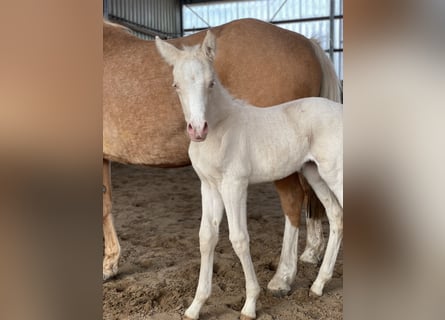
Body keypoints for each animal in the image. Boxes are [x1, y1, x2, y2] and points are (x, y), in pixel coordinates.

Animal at [104, 19, 340, 288]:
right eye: (175, 85)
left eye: (211, 83)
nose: (197, 129)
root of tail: (306, 43)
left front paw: (109, 265)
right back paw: (311, 255)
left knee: (293, 199)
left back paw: (283, 277)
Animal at [156, 30, 344, 320]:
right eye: (176, 85)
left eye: (211, 83)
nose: (197, 130)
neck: (220, 128)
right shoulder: (208, 186)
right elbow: (206, 237)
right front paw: (195, 306)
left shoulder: (235, 185)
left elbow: (239, 239)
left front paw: (250, 304)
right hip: (315, 173)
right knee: (335, 215)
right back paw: (318, 285)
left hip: (335, 172)